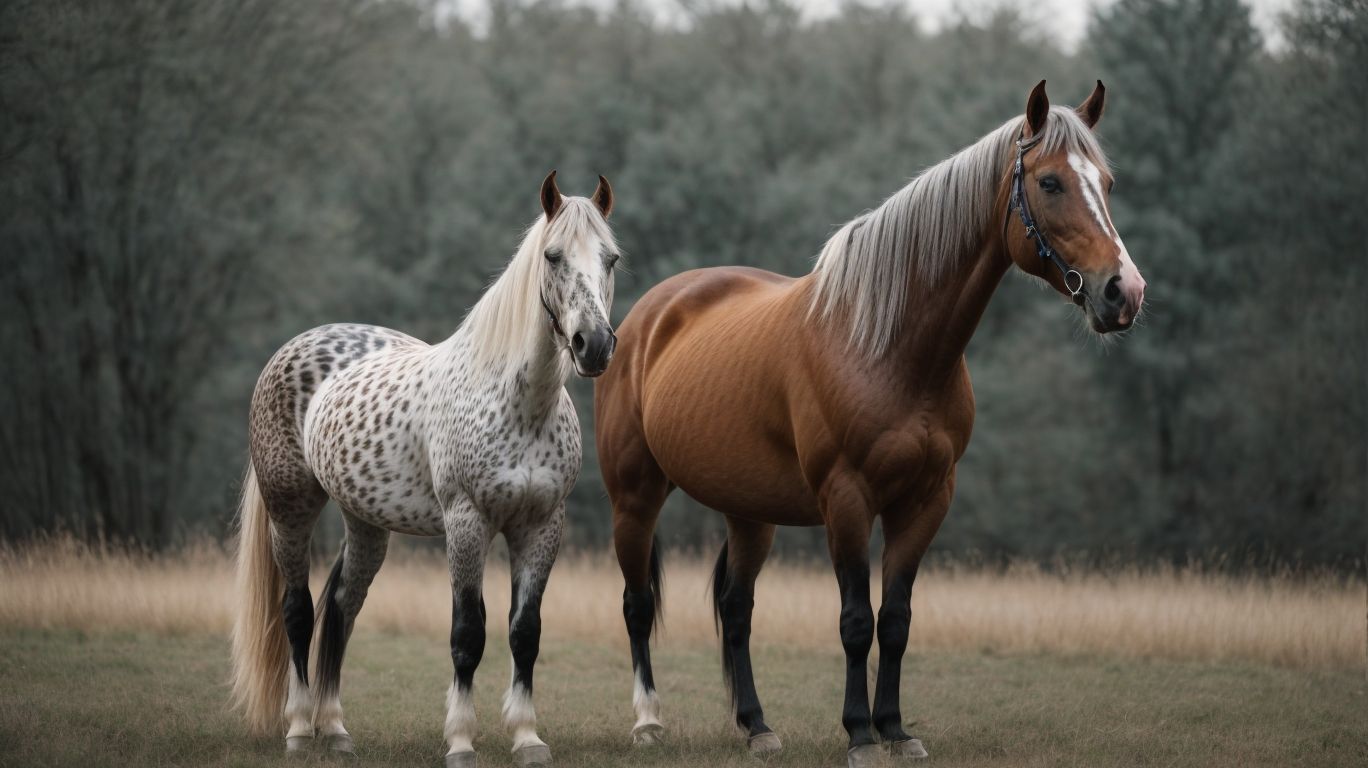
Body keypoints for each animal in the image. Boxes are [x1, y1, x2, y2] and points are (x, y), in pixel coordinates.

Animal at [230, 172, 619, 768]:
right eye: (553, 256)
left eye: (611, 259)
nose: (593, 345)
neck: (521, 404)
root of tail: (291, 349)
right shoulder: (466, 524)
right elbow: (468, 633)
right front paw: (460, 741)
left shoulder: (541, 526)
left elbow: (524, 632)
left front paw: (527, 737)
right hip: (290, 511)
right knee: (297, 611)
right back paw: (298, 730)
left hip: (365, 522)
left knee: (340, 609)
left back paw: (335, 729)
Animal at [594, 81, 1145, 767]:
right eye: (1050, 183)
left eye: (1106, 181)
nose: (1124, 292)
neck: (888, 347)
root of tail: (647, 317)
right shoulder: (848, 499)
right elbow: (856, 621)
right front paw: (859, 734)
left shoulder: (926, 501)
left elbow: (896, 620)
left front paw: (896, 729)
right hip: (635, 498)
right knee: (638, 606)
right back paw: (648, 723)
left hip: (749, 513)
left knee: (737, 607)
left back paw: (757, 725)